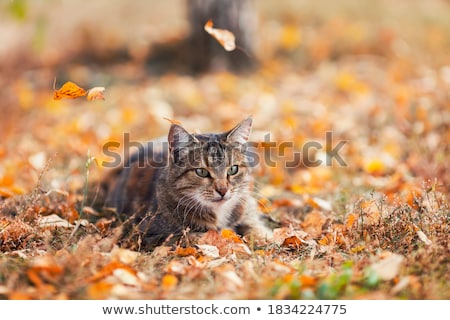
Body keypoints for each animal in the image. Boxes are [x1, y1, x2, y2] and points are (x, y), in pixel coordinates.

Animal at [99, 116, 272, 251]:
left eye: (233, 169)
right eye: (201, 172)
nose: (223, 190)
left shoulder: (246, 204)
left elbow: (254, 225)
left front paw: (264, 237)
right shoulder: (146, 235)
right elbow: (197, 236)